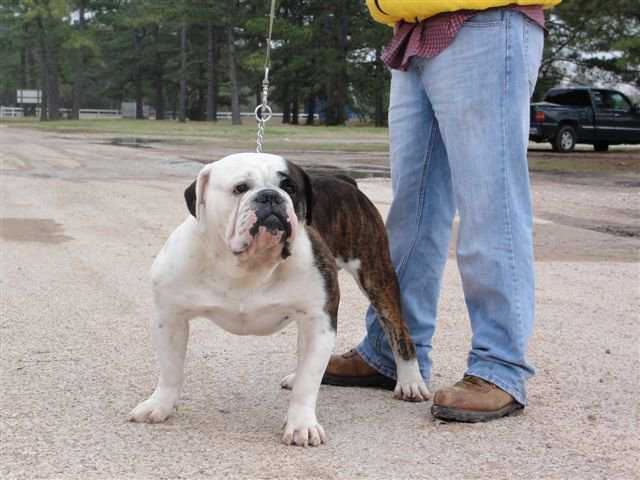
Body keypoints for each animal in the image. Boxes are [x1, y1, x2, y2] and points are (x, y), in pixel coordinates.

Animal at [130, 153, 430, 446]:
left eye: (290, 187)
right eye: (240, 188)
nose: (270, 196)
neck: (248, 265)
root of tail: (344, 180)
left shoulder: (319, 321)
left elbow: (308, 383)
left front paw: (302, 425)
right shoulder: (170, 318)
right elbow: (170, 369)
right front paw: (159, 406)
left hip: (376, 276)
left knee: (398, 332)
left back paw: (410, 382)